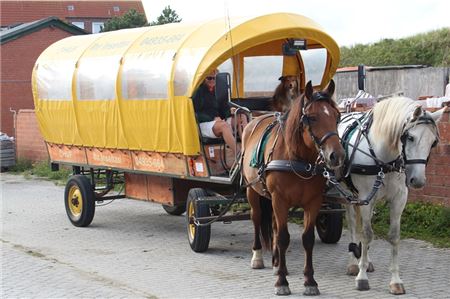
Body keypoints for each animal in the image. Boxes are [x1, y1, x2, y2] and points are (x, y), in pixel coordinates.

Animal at [243, 80, 344, 298]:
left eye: (337, 115)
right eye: (312, 117)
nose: (337, 156)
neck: (298, 159)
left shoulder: (313, 202)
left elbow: (307, 239)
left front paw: (310, 281)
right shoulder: (279, 199)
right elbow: (283, 238)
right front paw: (282, 282)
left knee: (272, 223)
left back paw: (276, 262)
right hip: (252, 190)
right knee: (256, 218)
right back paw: (258, 257)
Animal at [338, 96, 442, 296]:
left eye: (433, 142)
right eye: (410, 137)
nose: (417, 180)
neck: (383, 160)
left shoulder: (399, 199)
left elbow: (393, 237)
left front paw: (395, 281)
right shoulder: (366, 197)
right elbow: (367, 234)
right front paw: (362, 277)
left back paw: (365, 260)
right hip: (348, 193)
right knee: (354, 224)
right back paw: (354, 263)